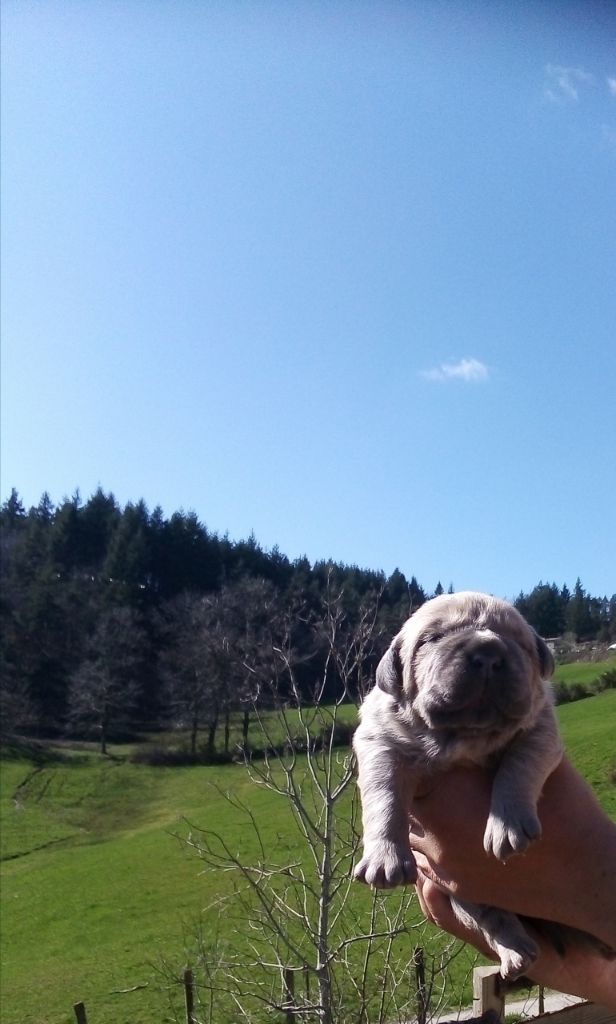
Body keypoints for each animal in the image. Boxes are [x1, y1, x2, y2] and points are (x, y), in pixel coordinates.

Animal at [349, 593, 560, 983]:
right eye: (432, 639)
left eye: (519, 642)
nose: (488, 651)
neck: (463, 736)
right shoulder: (379, 741)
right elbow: (383, 795)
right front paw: (386, 858)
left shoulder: (541, 729)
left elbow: (518, 767)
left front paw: (507, 827)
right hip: (463, 897)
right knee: (492, 917)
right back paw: (516, 953)